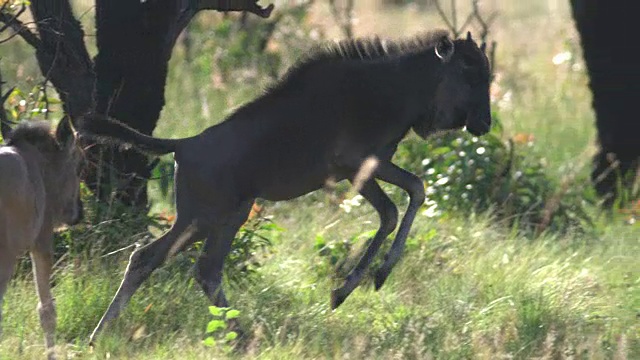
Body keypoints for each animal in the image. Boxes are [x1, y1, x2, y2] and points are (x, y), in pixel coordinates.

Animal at [85, 29, 492, 342]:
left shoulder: (369, 167)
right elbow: (400, 203)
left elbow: (408, 196)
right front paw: (357, 283)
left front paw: (361, 282)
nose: (484, 124)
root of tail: (182, 145)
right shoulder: (355, 165)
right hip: (203, 217)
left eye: (486, 74)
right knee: (158, 260)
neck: (398, 87)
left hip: (226, 217)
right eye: (468, 74)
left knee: (194, 268)